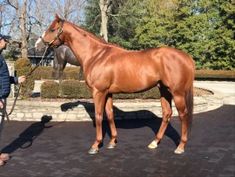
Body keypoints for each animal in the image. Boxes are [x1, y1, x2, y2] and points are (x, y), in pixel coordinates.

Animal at [35, 14, 195, 154]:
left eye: (52, 29)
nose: (38, 45)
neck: (96, 55)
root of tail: (186, 57)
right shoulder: (108, 93)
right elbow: (110, 114)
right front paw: (112, 142)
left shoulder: (98, 92)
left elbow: (99, 116)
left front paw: (95, 145)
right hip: (164, 90)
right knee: (167, 113)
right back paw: (154, 142)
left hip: (177, 93)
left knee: (183, 115)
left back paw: (180, 147)